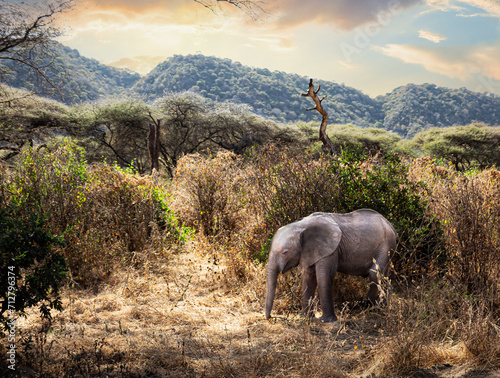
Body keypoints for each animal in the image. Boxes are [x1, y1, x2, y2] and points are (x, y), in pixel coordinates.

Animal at [266, 210, 398, 322]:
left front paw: (326, 321)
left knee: (374, 274)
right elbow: (309, 278)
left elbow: (323, 277)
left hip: (386, 245)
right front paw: (307, 318)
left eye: (285, 252)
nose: (271, 317)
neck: (301, 225)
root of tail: (391, 226)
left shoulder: (330, 250)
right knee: (383, 276)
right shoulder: (309, 250)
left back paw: (371, 307)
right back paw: (382, 307)